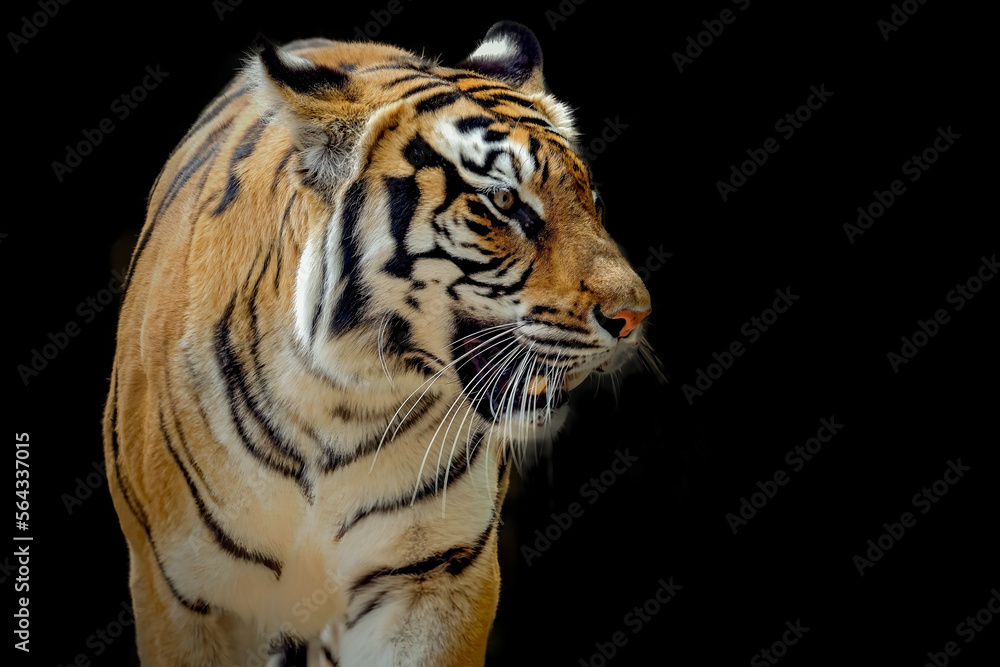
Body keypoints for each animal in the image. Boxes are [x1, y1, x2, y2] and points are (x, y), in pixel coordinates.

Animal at [103, 21, 655, 667]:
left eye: (591, 200)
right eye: (503, 202)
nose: (635, 315)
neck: (338, 402)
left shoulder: (434, 576)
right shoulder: (180, 593)